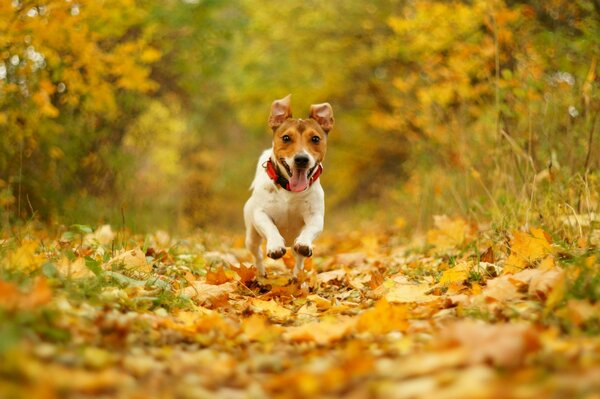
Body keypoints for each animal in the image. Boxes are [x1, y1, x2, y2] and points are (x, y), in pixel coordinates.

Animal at [246, 95, 336, 280]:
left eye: (315, 139)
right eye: (286, 138)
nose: (301, 159)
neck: (289, 190)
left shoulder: (315, 216)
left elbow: (310, 230)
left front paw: (304, 243)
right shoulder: (260, 214)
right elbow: (270, 226)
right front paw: (275, 245)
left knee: (298, 259)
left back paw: (296, 276)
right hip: (251, 236)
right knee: (257, 254)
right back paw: (261, 274)